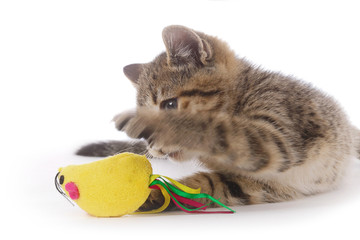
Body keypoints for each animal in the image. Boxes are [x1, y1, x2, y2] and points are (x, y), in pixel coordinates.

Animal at [76, 24, 360, 210]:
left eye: (169, 105)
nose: (152, 147)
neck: (242, 96)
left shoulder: (277, 136)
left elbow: (215, 130)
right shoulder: (251, 183)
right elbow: (204, 185)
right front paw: (155, 196)